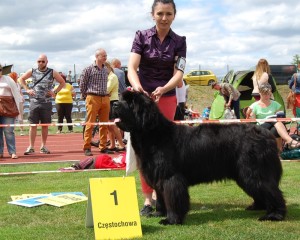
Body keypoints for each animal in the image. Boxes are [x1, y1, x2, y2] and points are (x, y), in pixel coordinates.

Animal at [112, 90, 286, 225]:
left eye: (130, 102)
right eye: (122, 98)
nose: (114, 104)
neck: (154, 134)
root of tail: (265, 133)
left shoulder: (170, 178)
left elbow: (172, 199)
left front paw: (171, 220)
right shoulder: (158, 176)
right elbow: (161, 198)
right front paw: (158, 213)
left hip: (253, 171)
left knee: (271, 190)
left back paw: (275, 214)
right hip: (244, 174)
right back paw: (258, 206)